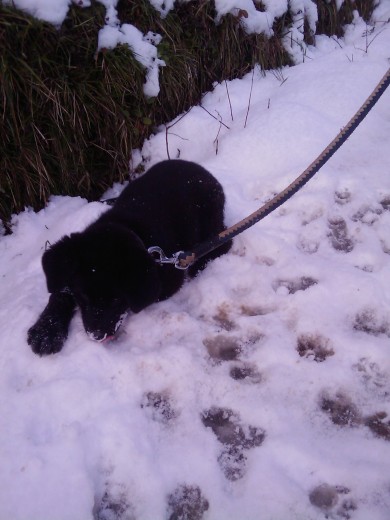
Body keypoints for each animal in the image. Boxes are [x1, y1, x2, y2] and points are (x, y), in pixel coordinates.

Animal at [29, 160, 233, 356]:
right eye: (84, 296)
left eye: (116, 300)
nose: (96, 335)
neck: (129, 227)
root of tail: (204, 171)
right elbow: (61, 291)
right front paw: (46, 331)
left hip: (211, 224)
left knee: (221, 242)